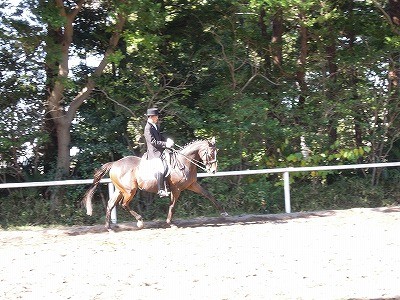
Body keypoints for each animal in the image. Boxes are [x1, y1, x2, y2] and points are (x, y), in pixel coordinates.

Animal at [82, 138, 227, 230]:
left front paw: (224, 212)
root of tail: (114, 164)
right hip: (130, 190)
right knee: (123, 204)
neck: (184, 162)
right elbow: (172, 205)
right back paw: (140, 221)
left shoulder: (192, 185)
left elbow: (208, 195)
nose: (213, 171)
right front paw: (170, 223)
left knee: (111, 204)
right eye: (210, 153)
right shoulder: (176, 189)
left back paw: (109, 228)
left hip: (120, 190)